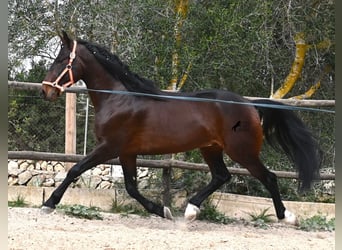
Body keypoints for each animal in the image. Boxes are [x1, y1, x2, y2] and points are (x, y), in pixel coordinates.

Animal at [41, 31, 322, 225]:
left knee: (268, 177)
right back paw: (190, 210)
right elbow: (131, 187)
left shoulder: (109, 147)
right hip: (211, 149)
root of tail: (250, 105)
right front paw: (163, 210)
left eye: (62, 59)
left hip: (242, 151)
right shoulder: (127, 152)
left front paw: (49, 203)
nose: (45, 90)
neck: (119, 99)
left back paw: (287, 217)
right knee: (222, 176)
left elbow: (75, 169)